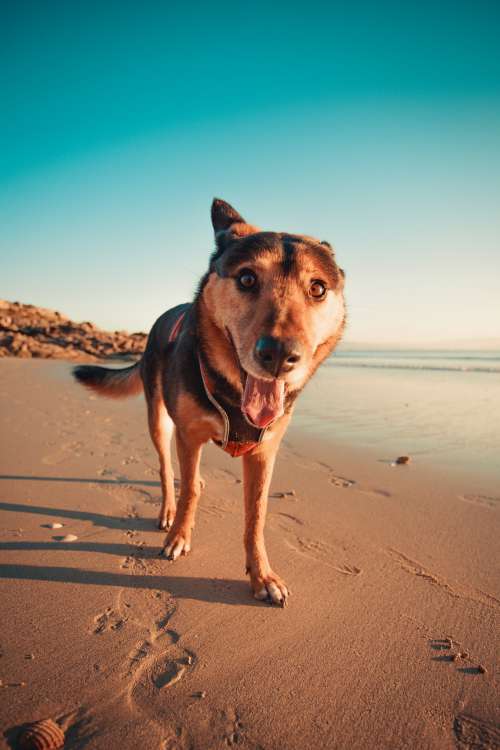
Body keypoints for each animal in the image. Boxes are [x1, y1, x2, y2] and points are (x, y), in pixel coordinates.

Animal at [74, 198, 346, 604]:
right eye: (247, 279)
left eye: (317, 288)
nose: (279, 356)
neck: (231, 391)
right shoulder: (189, 436)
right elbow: (187, 489)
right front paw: (179, 536)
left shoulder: (264, 453)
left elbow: (256, 515)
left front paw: (261, 574)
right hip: (159, 420)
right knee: (167, 471)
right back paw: (168, 512)